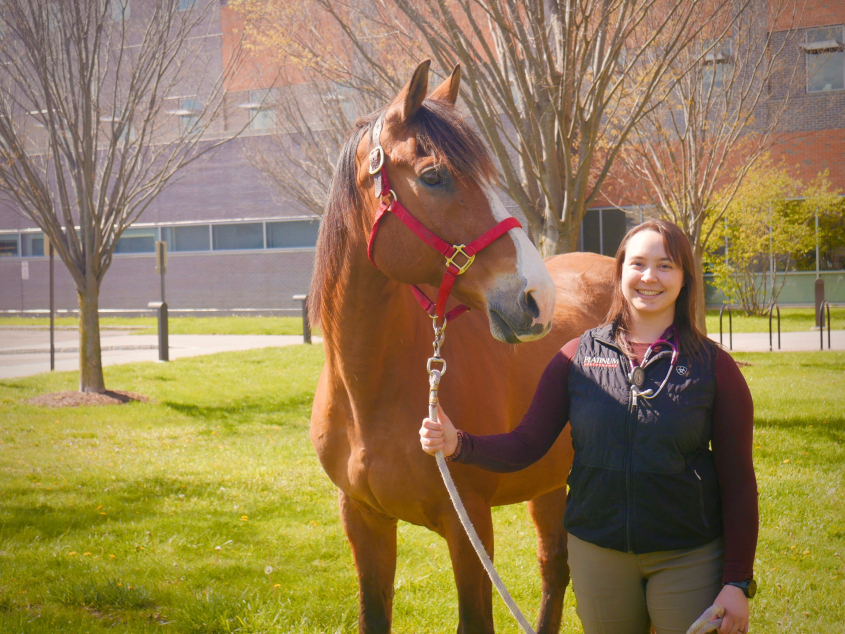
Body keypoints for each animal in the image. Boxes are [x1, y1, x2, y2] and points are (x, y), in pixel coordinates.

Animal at [308, 59, 615, 633]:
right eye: (434, 176)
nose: (537, 298)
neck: (369, 392)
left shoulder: (469, 524)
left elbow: (476, 618)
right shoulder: (363, 521)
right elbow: (373, 614)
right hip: (550, 484)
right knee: (554, 566)